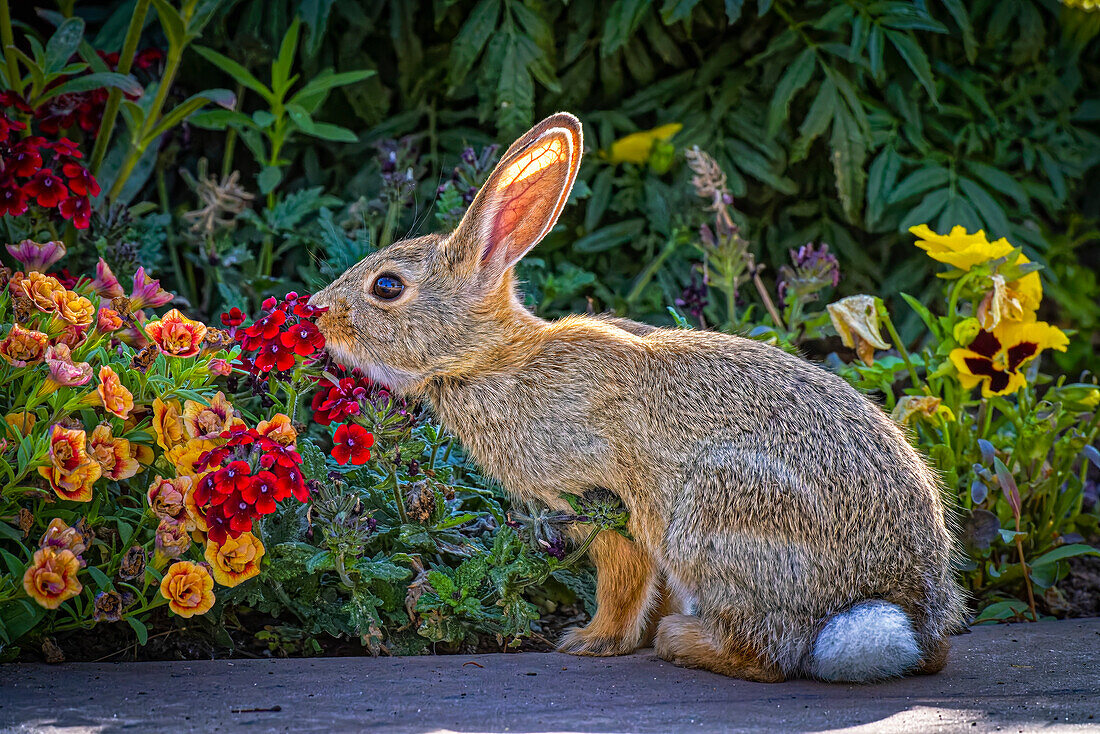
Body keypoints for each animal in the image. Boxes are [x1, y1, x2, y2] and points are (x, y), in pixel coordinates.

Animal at [314, 110, 968, 682]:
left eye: (387, 287)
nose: (319, 312)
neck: (486, 358)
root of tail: (908, 617)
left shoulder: (599, 496)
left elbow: (621, 576)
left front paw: (591, 641)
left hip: (716, 519)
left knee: (766, 653)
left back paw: (681, 641)